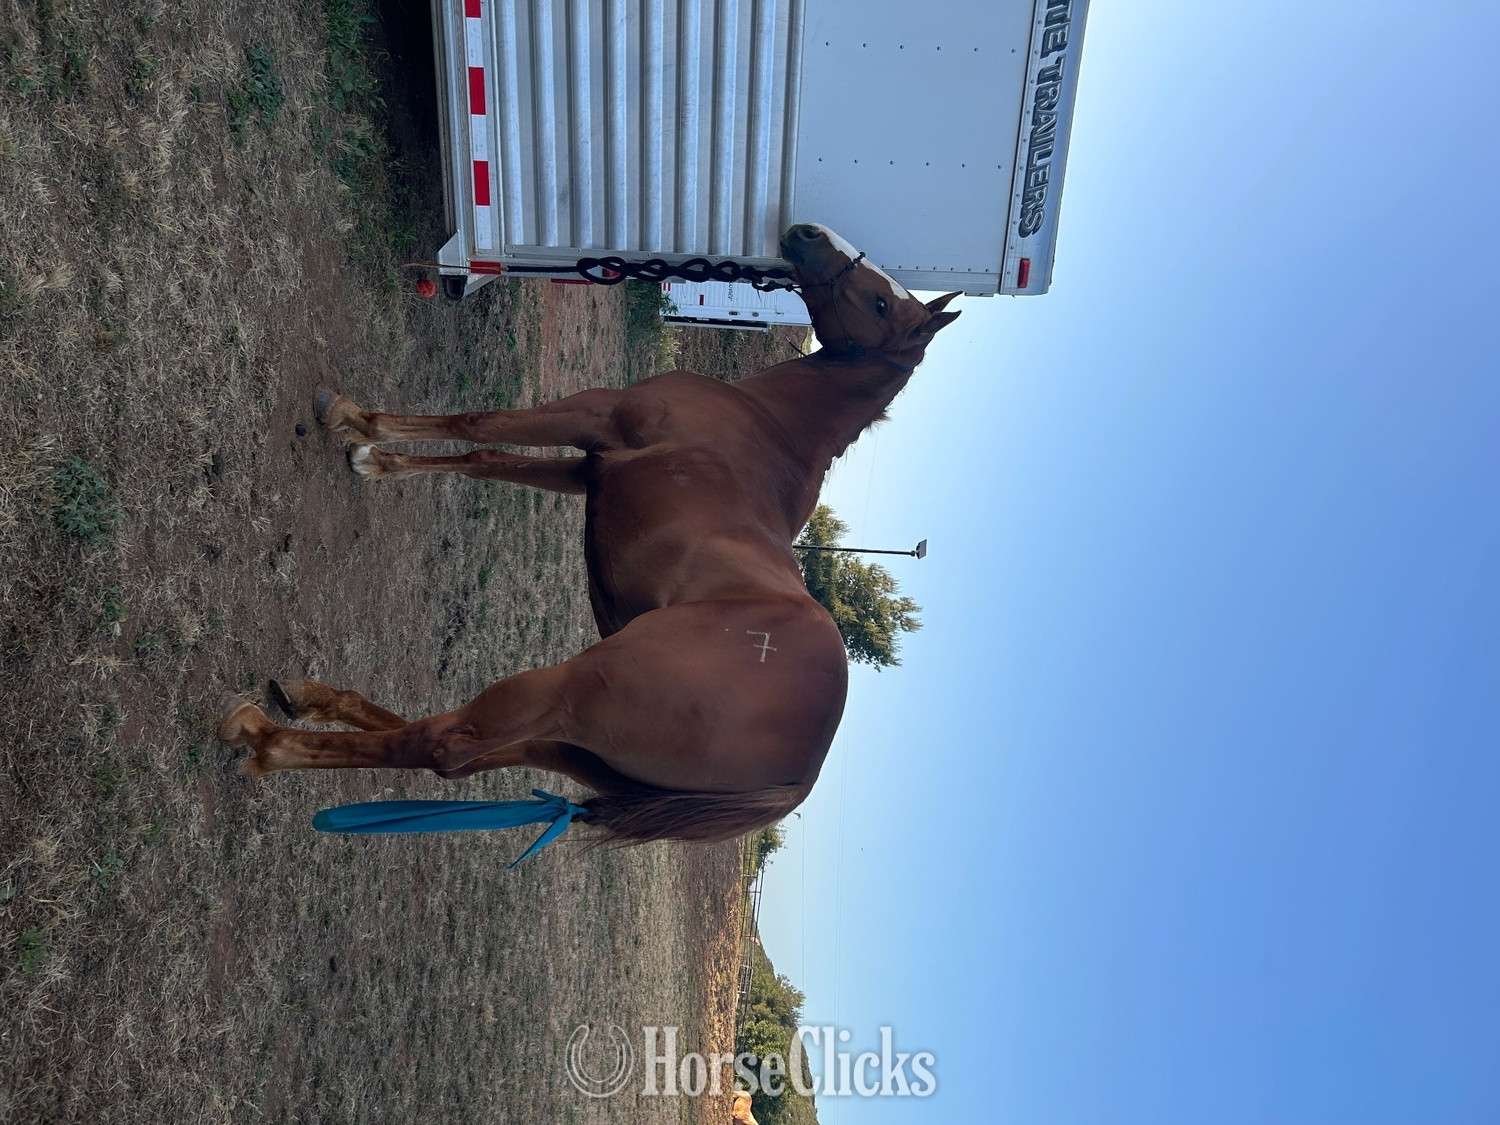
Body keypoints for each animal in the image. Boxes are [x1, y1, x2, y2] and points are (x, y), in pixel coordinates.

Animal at [216, 223, 961, 846]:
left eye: (881, 303)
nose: (804, 232)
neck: (767, 423)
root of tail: (794, 780)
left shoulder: (593, 416)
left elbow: (478, 421)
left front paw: (355, 420)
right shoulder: (585, 470)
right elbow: (483, 455)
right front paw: (377, 456)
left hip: (568, 691)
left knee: (442, 745)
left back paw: (266, 739)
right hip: (577, 749)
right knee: (462, 754)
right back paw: (318, 700)